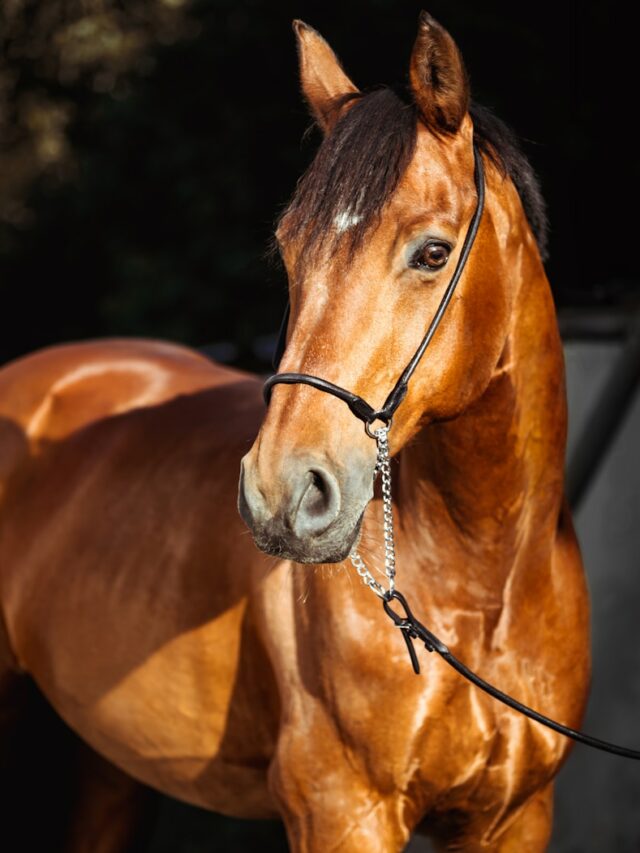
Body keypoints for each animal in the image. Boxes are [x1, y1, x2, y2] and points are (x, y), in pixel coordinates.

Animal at [0, 13, 592, 852]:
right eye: (289, 250)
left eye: (433, 251)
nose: (279, 494)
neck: (483, 589)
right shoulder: (340, 808)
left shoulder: (514, 816)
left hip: (110, 764)